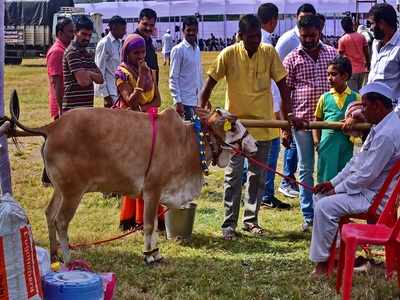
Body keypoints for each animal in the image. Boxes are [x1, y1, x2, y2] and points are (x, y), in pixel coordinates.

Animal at [11, 92, 260, 264]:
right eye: (233, 125)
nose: (255, 144)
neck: (188, 141)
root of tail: (53, 126)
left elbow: (154, 225)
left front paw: (156, 253)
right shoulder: (152, 190)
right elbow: (149, 225)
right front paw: (149, 255)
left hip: (60, 189)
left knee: (49, 213)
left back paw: (54, 254)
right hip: (73, 191)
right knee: (61, 220)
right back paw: (69, 260)